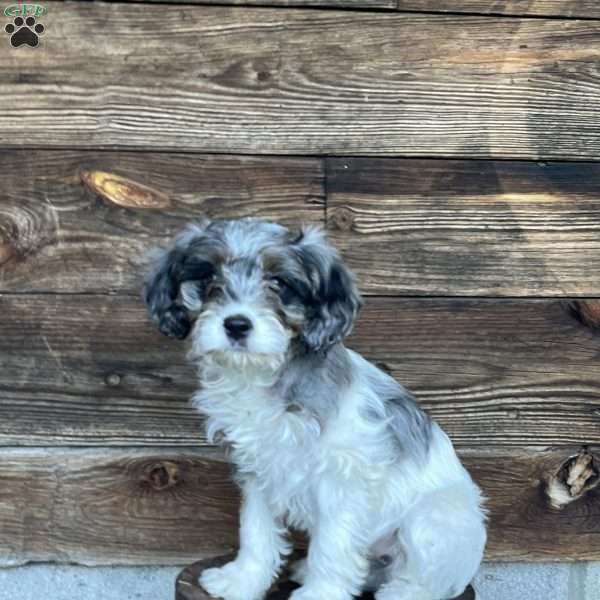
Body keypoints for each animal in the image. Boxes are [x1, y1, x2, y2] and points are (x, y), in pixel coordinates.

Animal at [145, 218, 488, 600]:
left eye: (279, 282)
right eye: (207, 277)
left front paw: (319, 593)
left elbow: (332, 545)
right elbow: (255, 532)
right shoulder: (258, 470)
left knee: (420, 579)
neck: (262, 377)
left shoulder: (342, 479)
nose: (236, 324)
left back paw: (401, 594)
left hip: (435, 518)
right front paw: (242, 579)